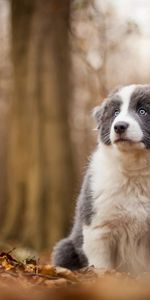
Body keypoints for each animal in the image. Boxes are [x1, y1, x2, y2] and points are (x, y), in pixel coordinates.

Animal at [51, 84, 150, 274]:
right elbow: (101, 266)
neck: (135, 171)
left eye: (143, 111)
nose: (119, 126)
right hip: (65, 247)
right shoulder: (98, 227)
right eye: (116, 112)